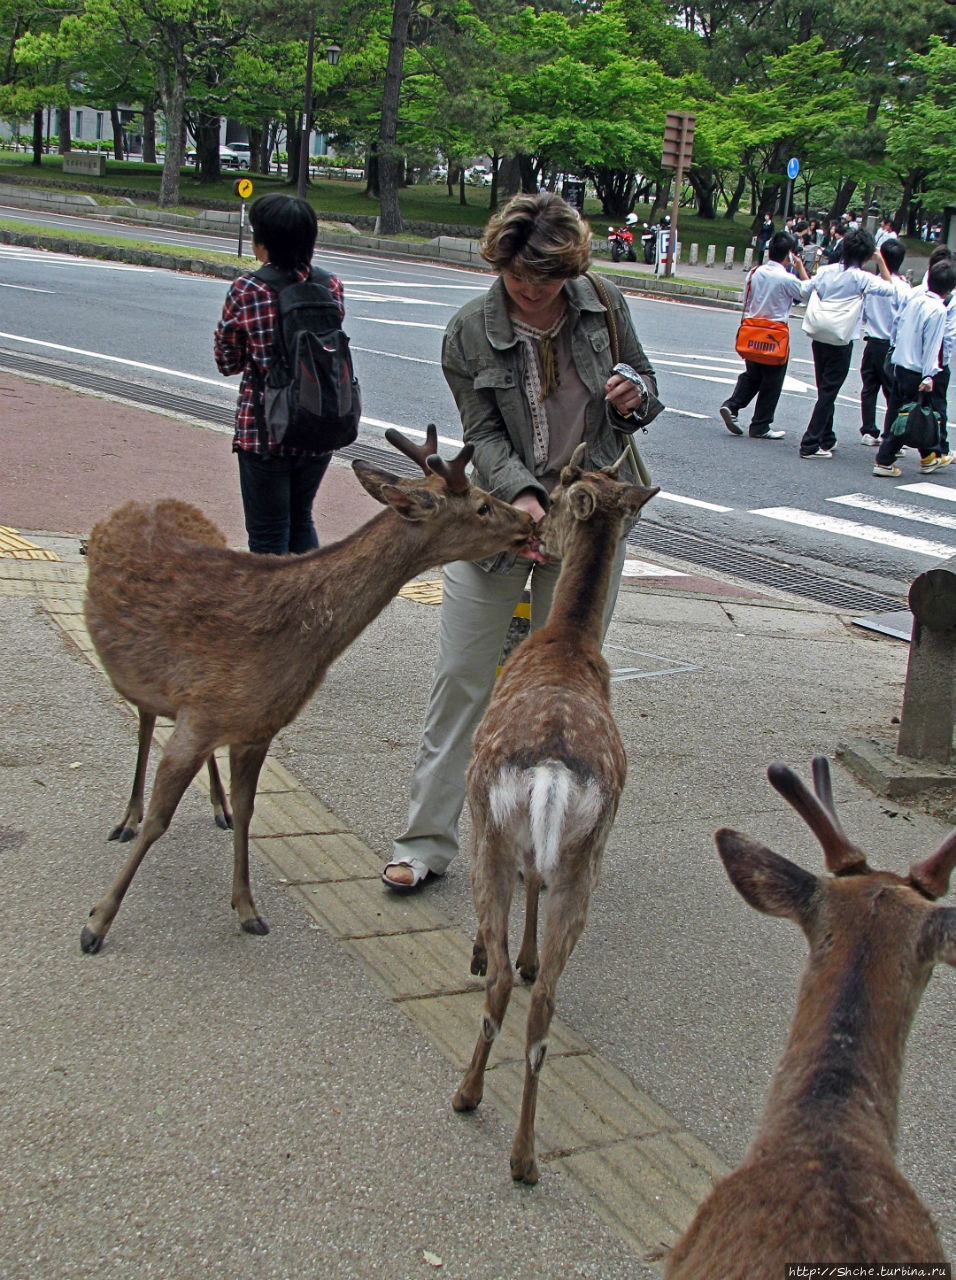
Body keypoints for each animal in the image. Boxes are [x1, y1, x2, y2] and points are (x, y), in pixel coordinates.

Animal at [80, 427, 537, 952]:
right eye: (481, 505)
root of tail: (130, 504)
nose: (529, 517)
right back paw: (127, 817)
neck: (290, 645)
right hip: (140, 675)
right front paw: (96, 922)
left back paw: (214, 806)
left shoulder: (255, 727)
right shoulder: (203, 716)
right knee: (144, 720)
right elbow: (159, 819)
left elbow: (249, 810)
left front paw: (248, 909)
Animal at [450, 445, 660, 1182]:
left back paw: (467, 1092)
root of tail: (550, 771)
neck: (568, 641)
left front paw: (487, 951)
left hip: (489, 825)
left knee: (500, 987)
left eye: (564, 493)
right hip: (586, 854)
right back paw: (525, 1155)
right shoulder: (553, 851)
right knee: (544, 999)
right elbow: (533, 886)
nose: (537, 532)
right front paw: (532, 954)